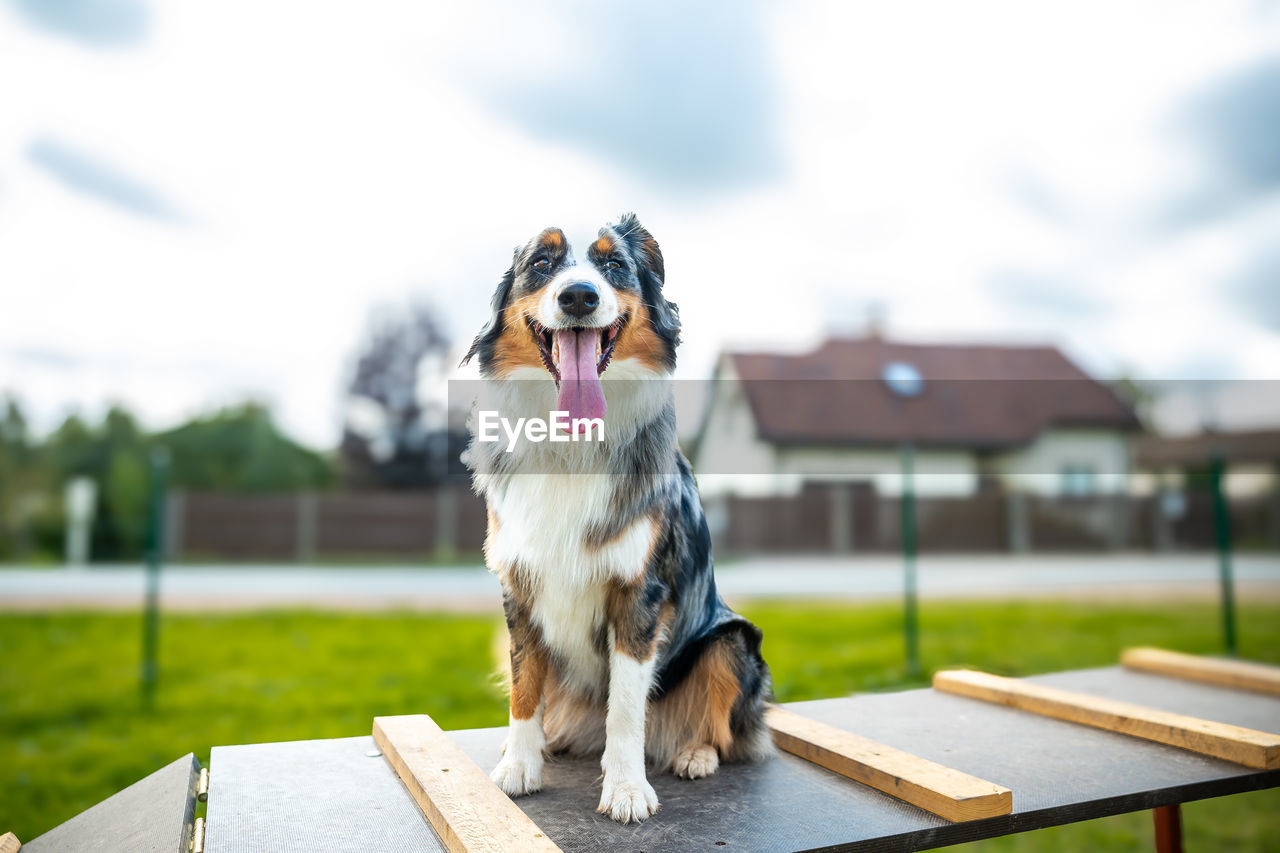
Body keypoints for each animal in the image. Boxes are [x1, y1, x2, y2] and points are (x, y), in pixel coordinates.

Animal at [465, 213, 773, 824]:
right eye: (542, 263)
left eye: (613, 265)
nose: (579, 296)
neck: (572, 444)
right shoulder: (518, 588)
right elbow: (524, 688)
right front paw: (518, 766)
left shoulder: (639, 593)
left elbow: (627, 707)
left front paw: (627, 789)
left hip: (732, 642)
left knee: (725, 732)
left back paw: (693, 754)